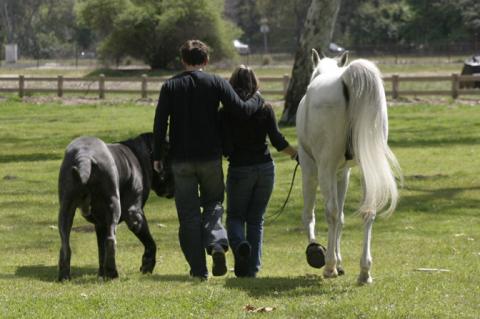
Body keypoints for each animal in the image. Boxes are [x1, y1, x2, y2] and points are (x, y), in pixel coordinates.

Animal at [57, 134, 172, 282]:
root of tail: (84, 156)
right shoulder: (135, 215)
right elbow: (150, 243)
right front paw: (147, 265)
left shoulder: (100, 224)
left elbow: (101, 251)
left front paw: (101, 273)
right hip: (114, 205)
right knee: (111, 241)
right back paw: (113, 273)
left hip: (66, 209)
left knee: (66, 245)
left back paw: (64, 275)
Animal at [296, 48, 402, 284]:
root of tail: (344, 78)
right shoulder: (343, 173)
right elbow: (343, 218)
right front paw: (339, 260)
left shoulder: (310, 168)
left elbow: (311, 214)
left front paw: (319, 252)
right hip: (366, 169)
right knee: (368, 210)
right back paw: (364, 271)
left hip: (324, 168)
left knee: (331, 212)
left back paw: (329, 266)